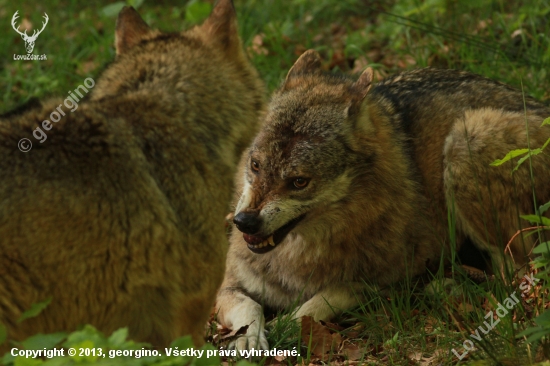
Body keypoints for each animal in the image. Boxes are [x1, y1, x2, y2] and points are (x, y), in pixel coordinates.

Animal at [216, 49, 550, 348]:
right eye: (255, 165)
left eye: (299, 182)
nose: (244, 222)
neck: (297, 254)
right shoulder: (227, 286)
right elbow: (250, 306)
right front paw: (248, 336)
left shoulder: (381, 282)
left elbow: (319, 301)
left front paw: (284, 326)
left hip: (464, 141)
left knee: (516, 276)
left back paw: (446, 286)